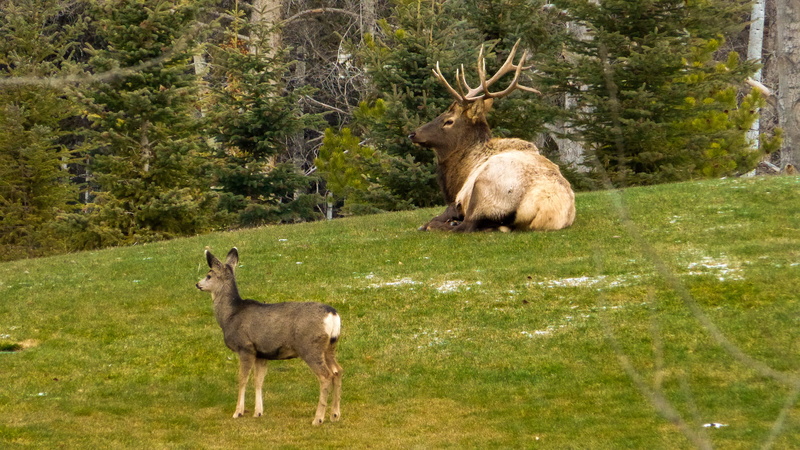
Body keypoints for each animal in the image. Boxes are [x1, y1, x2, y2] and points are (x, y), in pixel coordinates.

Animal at [195, 248, 342, 426]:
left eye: (209, 275)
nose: (198, 284)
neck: (230, 315)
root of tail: (333, 315)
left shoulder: (245, 347)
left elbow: (242, 379)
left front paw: (238, 412)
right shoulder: (262, 353)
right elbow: (258, 381)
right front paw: (258, 412)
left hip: (310, 346)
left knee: (326, 375)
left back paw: (318, 418)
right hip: (330, 346)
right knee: (338, 371)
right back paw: (335, 414)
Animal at [409, 40, 576, 232]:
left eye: (448, 121)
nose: (413, 134)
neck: (460, 173)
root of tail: (544, 210)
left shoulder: (457, 199)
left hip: (484, 187)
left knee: (465, 226)